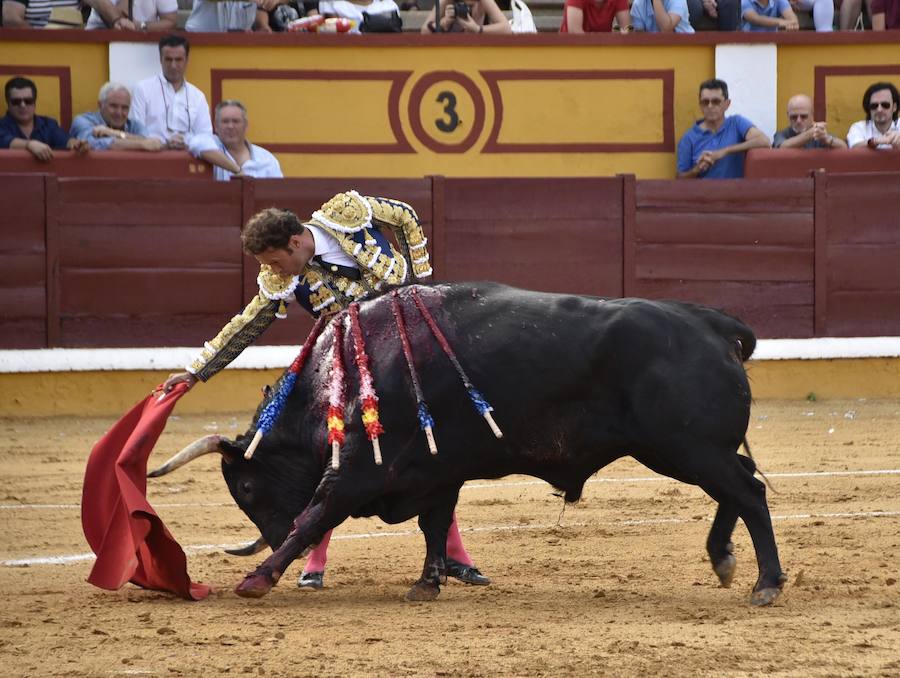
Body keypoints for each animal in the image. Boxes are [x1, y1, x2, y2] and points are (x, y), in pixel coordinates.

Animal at [151, 282, 784, 604]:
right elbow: (434, 524)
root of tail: (714, 325)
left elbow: (318, 513)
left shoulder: (357, 471)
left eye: (247, 485)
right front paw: (427, 584)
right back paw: (725, 561)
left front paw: (257, 579)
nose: (272, 536)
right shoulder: (438, 471)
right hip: (693, 451)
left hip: (684, 449)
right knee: (740, 487)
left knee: (748, 493)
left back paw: (765, 584)